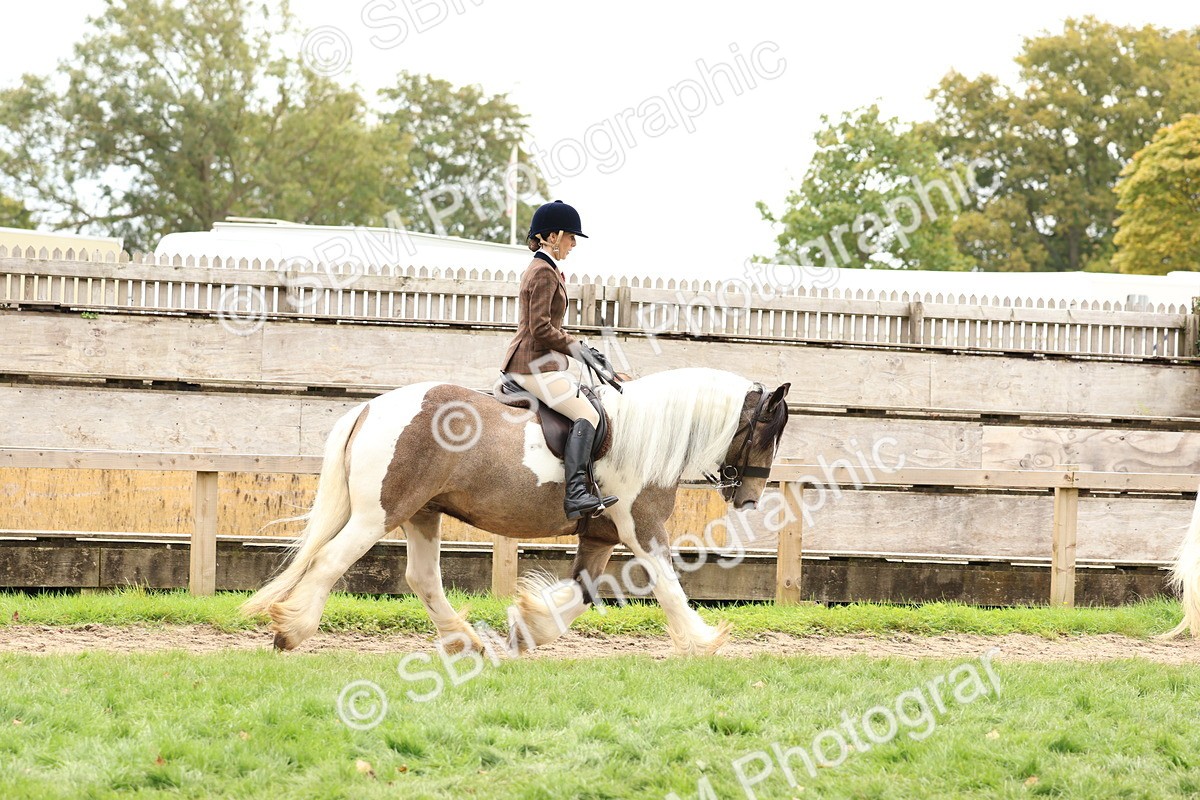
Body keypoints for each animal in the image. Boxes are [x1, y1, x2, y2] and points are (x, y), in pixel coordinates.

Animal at [241, 367, 790, 655]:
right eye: (768, 432)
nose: (749, 498)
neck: (646, 433)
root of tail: (370, 408)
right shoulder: (643, 526)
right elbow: (669, 583)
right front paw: (704, 641)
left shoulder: (600, 534)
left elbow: (584, 591)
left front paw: (529, 626)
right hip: (380, 513)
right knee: (331, 561)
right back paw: (292, 630)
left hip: (422, 512)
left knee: (422, 578)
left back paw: (465, 641)